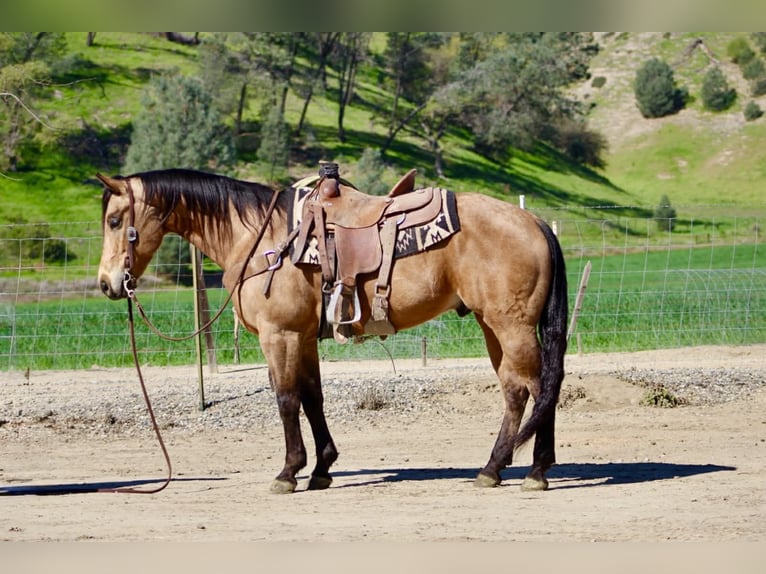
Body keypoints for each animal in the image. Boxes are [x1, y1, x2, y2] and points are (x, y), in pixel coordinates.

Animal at [97, 167, 568, 494]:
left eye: (116, 220)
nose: (107, 283)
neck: (260, 238)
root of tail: (533, 221)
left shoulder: (279, 335)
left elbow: (286, 399)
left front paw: (288, 471)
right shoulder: (303, 338)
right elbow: (312, 399)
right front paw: (322, 467)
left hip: (511, 326)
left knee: (536, 386)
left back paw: (531, 470)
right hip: (493, 326)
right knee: (519, 390)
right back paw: (499, 468)